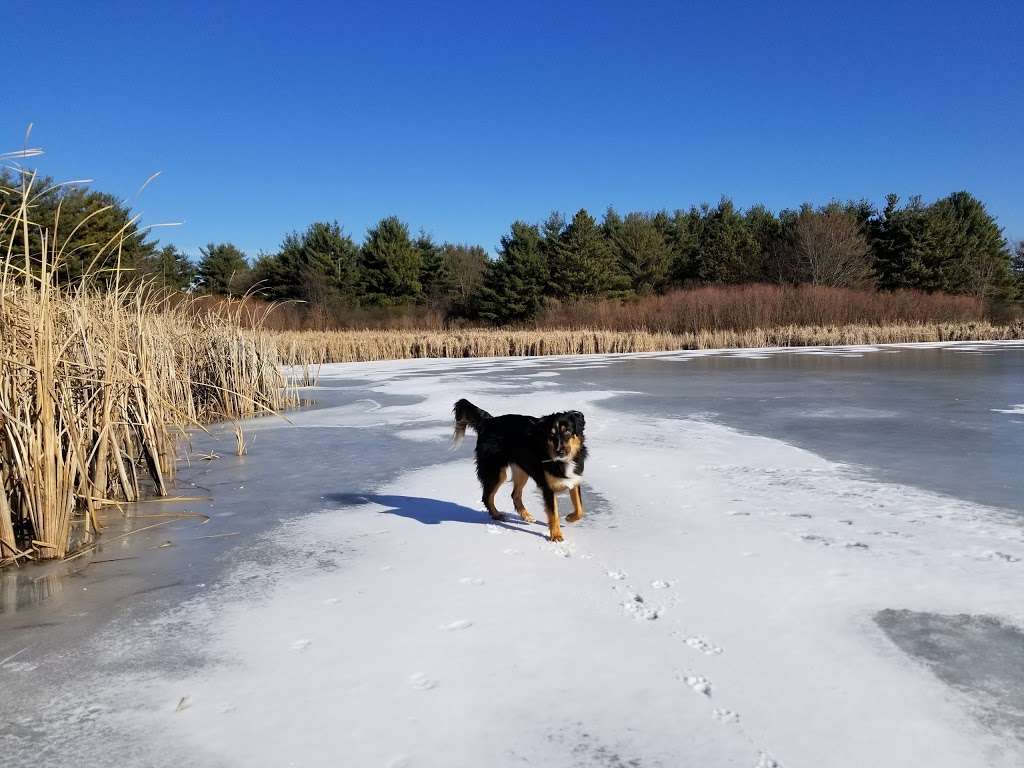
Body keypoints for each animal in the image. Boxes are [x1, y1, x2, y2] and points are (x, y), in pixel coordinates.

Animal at [454, 399, 589, 544]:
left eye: (567, 431)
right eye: (551, 434)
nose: (560, 451)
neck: (561, 461)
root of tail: (488, 421)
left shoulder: (574, 479)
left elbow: (580, 509)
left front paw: (570, 517)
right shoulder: (548, 488)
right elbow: (554, 514)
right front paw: (556, 536)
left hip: (521, 470)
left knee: (515, 495)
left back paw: (526, 516)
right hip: (496, 471)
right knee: (486, 496)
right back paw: (497, 515)